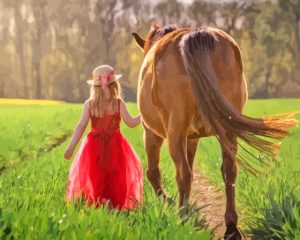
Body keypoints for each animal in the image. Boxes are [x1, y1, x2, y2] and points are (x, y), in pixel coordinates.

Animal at [132, 24, 296, 238]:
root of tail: (195, 35)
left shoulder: (152, 133)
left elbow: (153, 172)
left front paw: (168, 202)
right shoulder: (192, 138)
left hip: (175, 131)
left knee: (183, 172)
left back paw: (183, 217)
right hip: (226, 130)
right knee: (229, 170)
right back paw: (231, 226)